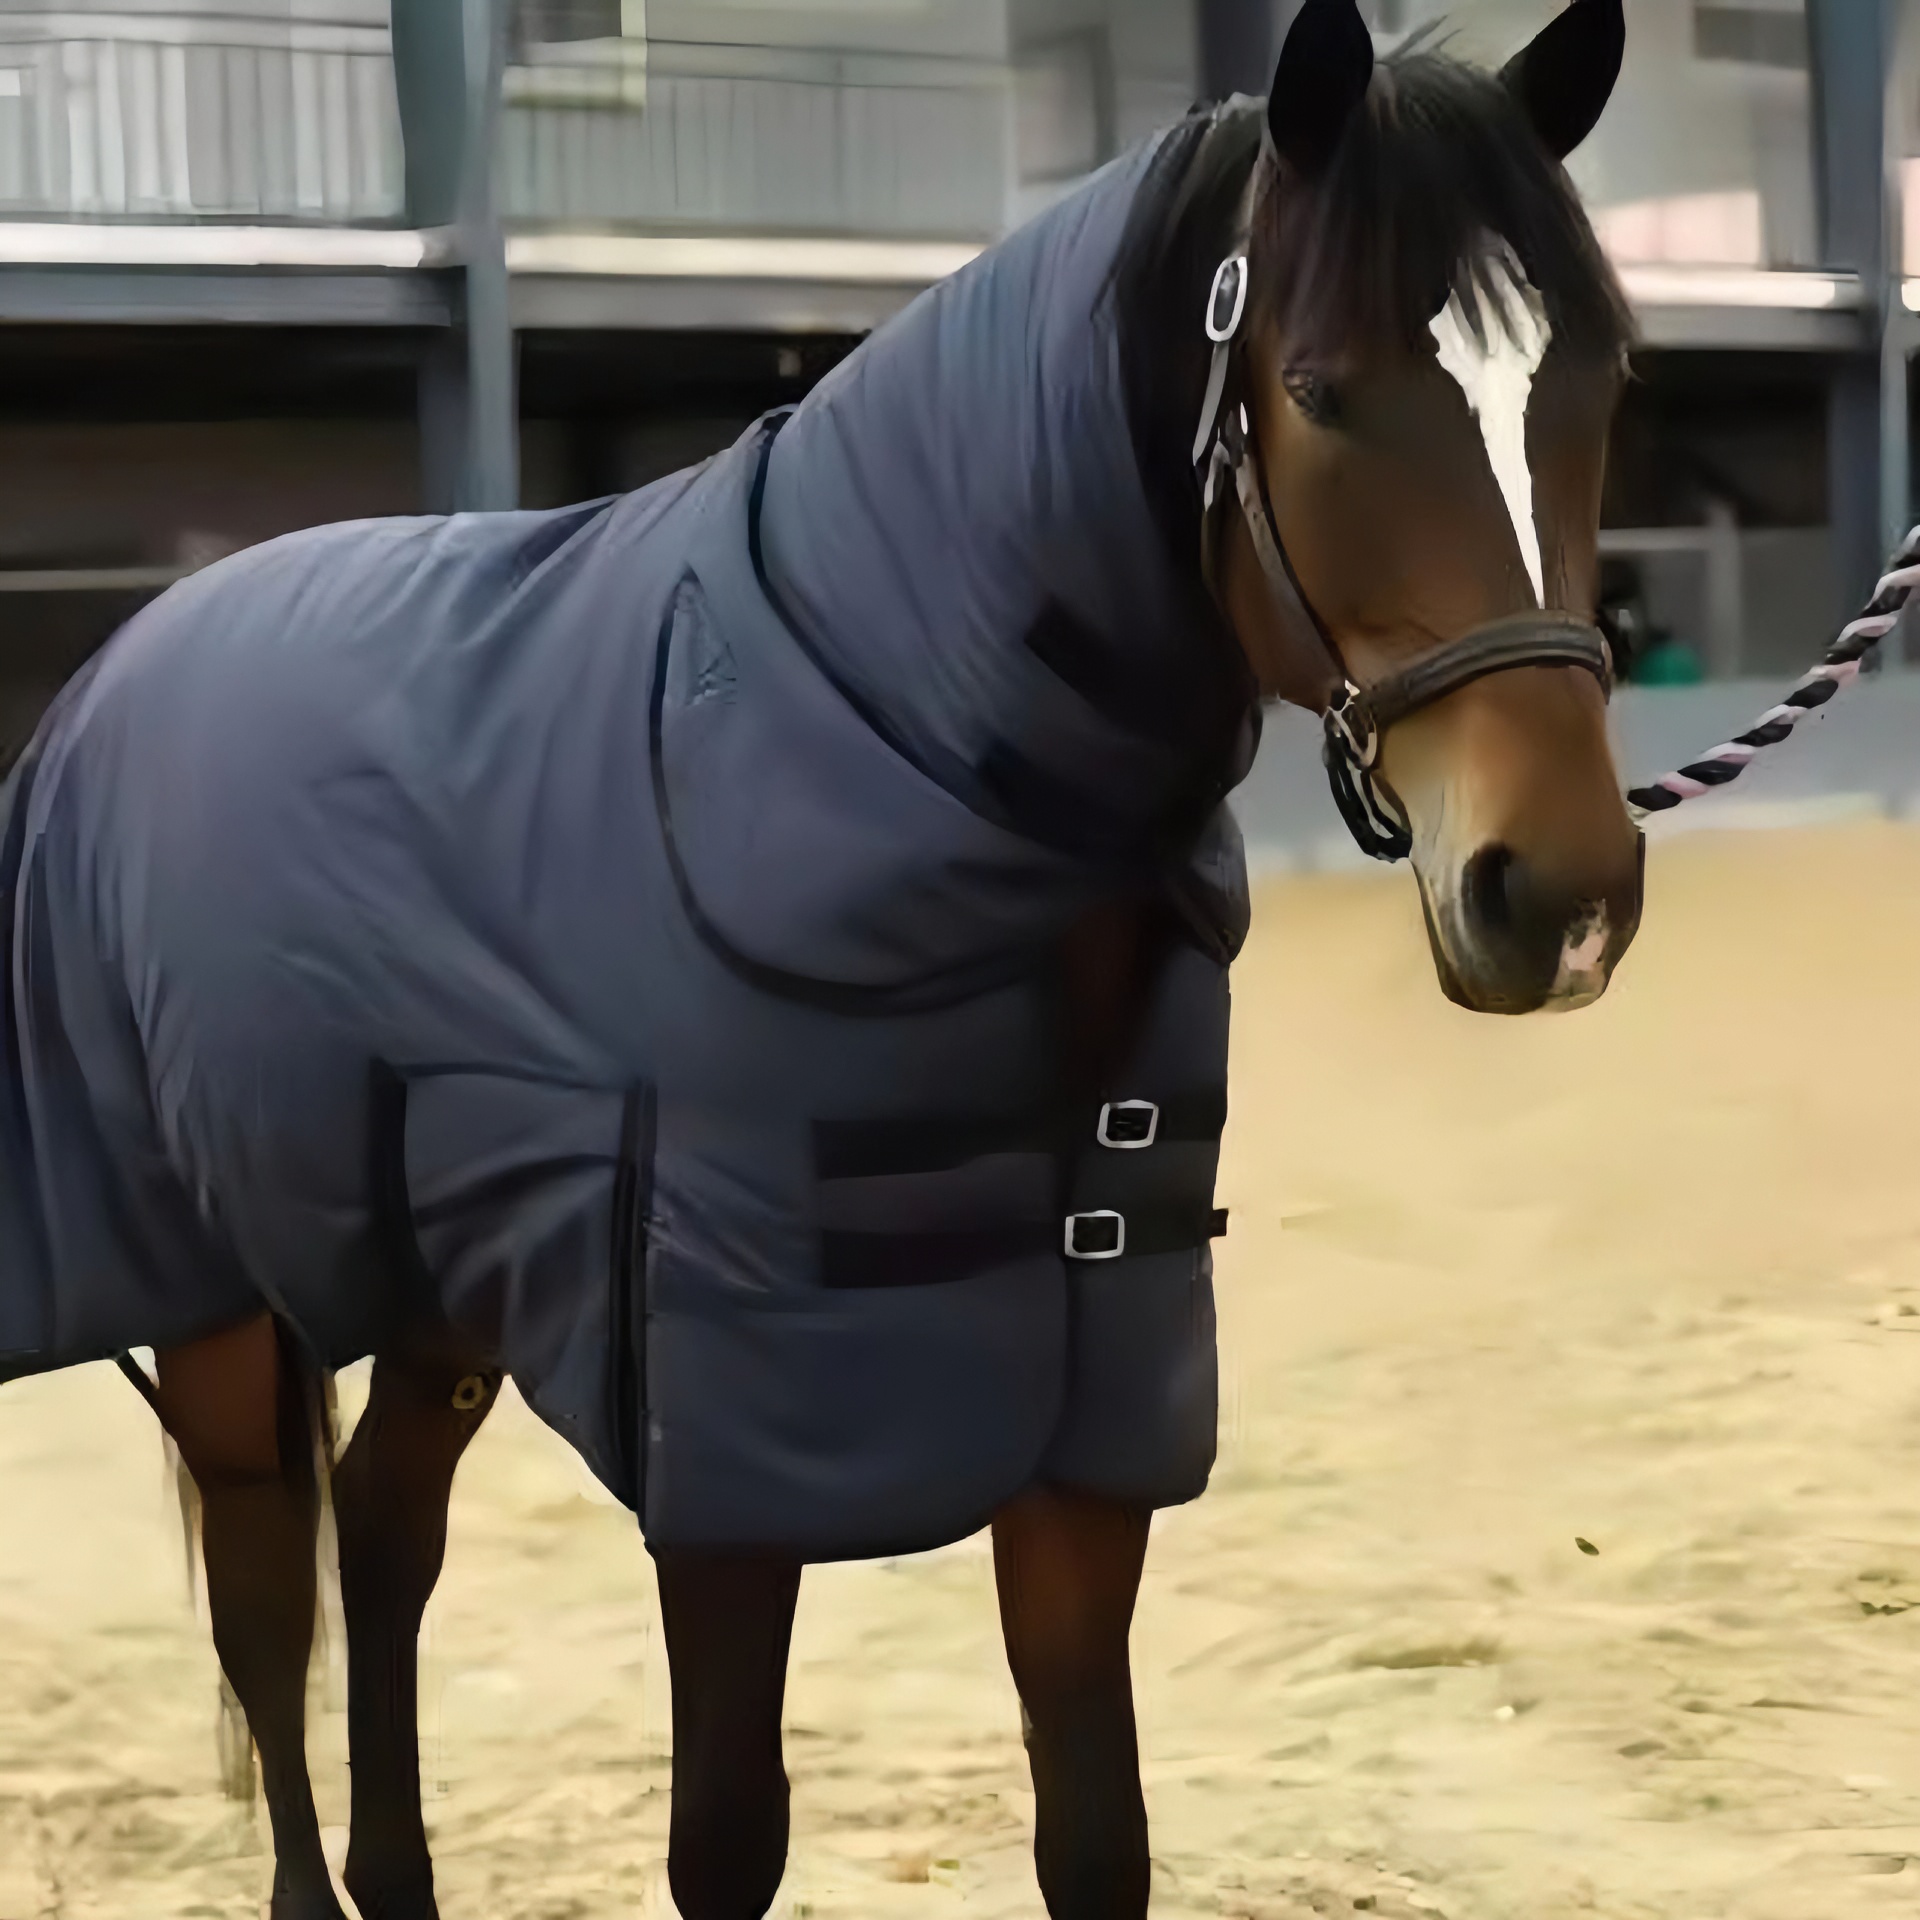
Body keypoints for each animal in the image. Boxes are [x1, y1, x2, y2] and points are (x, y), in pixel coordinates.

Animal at [0, 2, 1642, 1916]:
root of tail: (124, 662)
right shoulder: (729, 1451)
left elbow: (1096, 1837)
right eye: (1316, 390)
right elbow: (726, 1836)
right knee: (270, 1599)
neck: (865, 741)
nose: (1562, 892)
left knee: (386, 1538)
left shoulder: (1085, 1427)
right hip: (207, 1291)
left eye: (1604, 378)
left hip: (433, 1287)